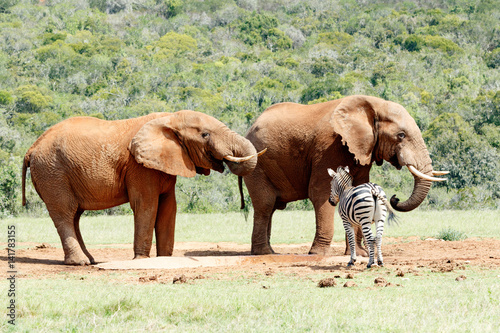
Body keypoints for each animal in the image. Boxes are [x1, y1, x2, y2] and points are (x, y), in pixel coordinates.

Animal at [22, 110, 262, 266]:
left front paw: (164, 259)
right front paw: (141, 260)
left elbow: (168, 208)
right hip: (53, 172)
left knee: (75, 216)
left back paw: (90, 260)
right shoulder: (138, 166)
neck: (170, 118)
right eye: (205, 135)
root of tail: (31, 148)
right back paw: (79, 263)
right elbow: (147, 205)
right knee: (65, 212)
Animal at [240, 94, 448, 255]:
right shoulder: (328, 148)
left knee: (272, 207)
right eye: (401, 135)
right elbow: (321, 193)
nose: (395, 198)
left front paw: (360, 254)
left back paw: (269, 251)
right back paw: (264, 253)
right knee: (266, 204)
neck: (373, 105)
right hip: (257, 163)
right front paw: (318, 254)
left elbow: (357, 191)